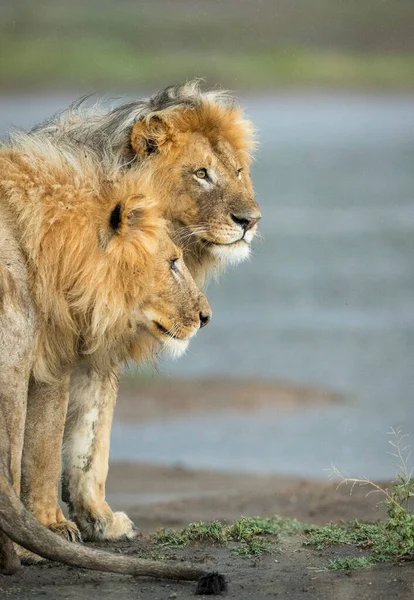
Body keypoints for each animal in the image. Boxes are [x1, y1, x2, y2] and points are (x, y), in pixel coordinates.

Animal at [28, 78, 262, 540]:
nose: (250, 220)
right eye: (202, 173)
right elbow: (42, 441)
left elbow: (91, 438)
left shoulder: (99, 349)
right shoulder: (51, 342)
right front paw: (50, 527)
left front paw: (98, 518)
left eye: (238, 172)